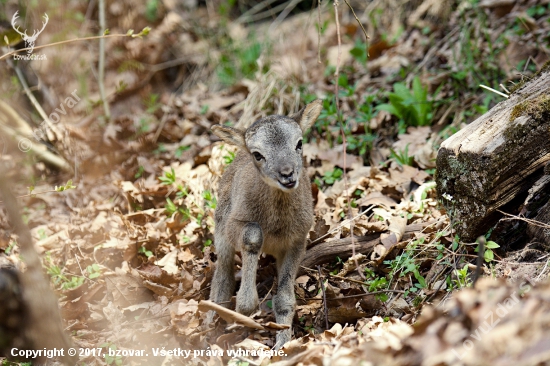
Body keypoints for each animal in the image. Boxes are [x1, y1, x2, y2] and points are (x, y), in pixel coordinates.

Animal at [209, 99, 324, 348]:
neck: (275, 225)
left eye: (299, 143)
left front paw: (282, 343)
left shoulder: (297, 241)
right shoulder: (235, 224)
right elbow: (252, 235)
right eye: (258, 154)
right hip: (220, 229)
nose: (287, 174)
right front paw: (246, 304)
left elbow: (284, 300)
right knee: (222, 277)